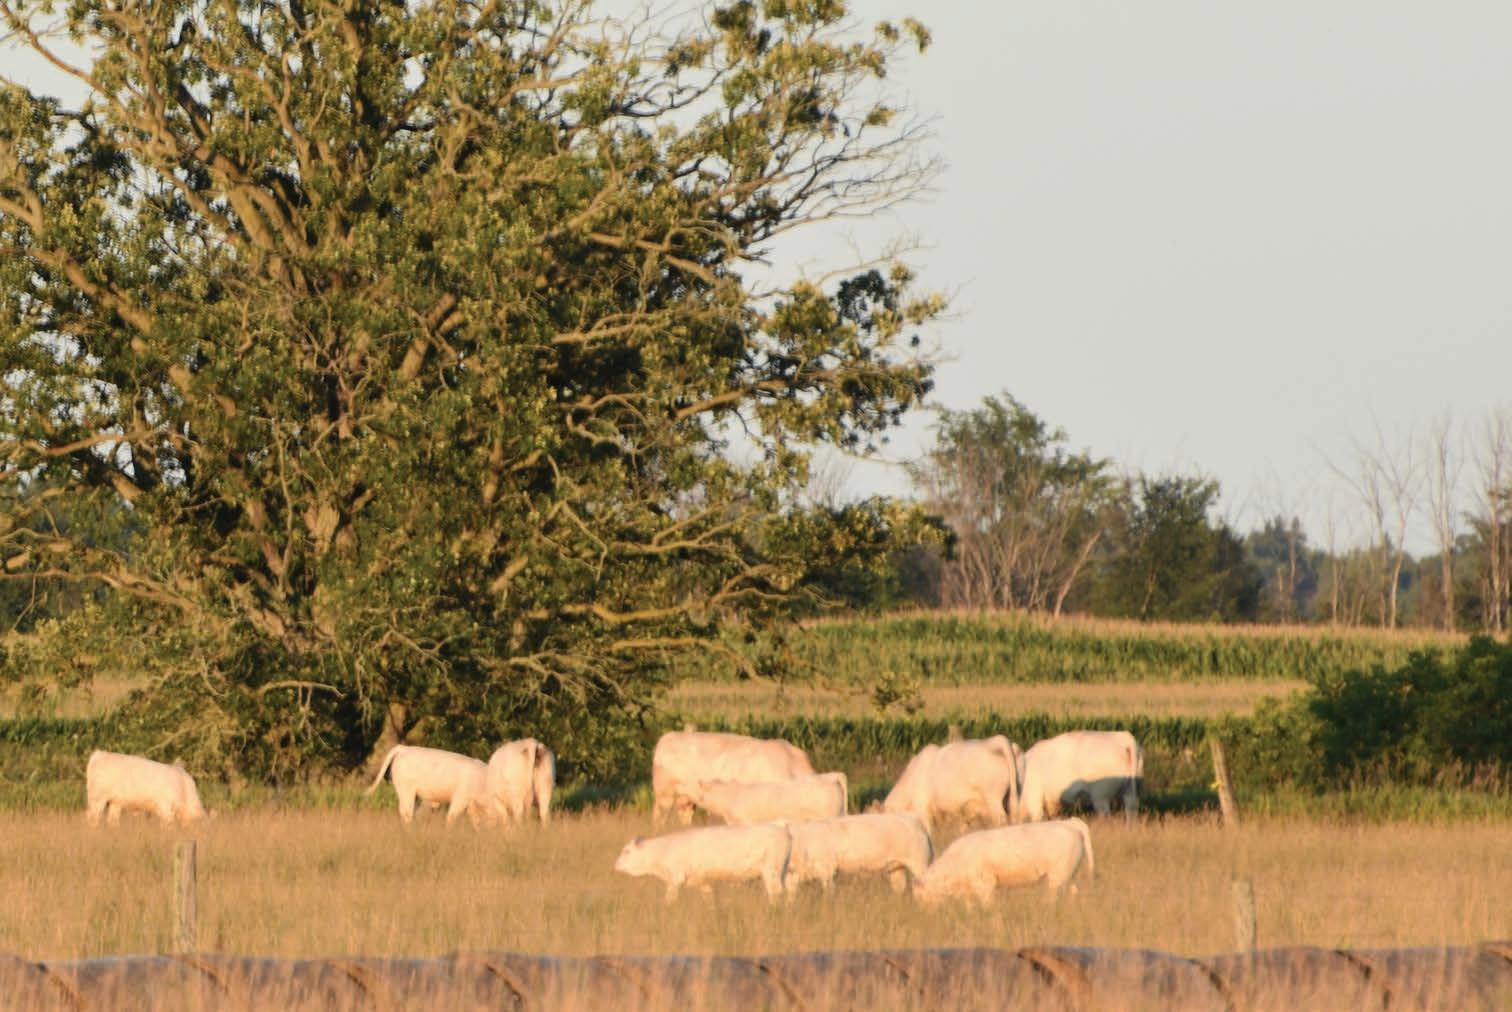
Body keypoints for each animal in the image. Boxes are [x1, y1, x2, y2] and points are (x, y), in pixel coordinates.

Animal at [613, 824, 792, 902]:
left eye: (626, 851)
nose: (615, 865)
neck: (665, 849)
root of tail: (781, 827)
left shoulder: (675, 880)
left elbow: (669, 901)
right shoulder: (704, 882)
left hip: (771, 872)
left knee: (775, 892)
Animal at [913, 818, 1094, 906]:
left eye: (921, 898)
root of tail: (1069, 823)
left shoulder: (985, 886)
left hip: (1057, 878)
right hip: (1069, 876)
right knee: (1074, 893)